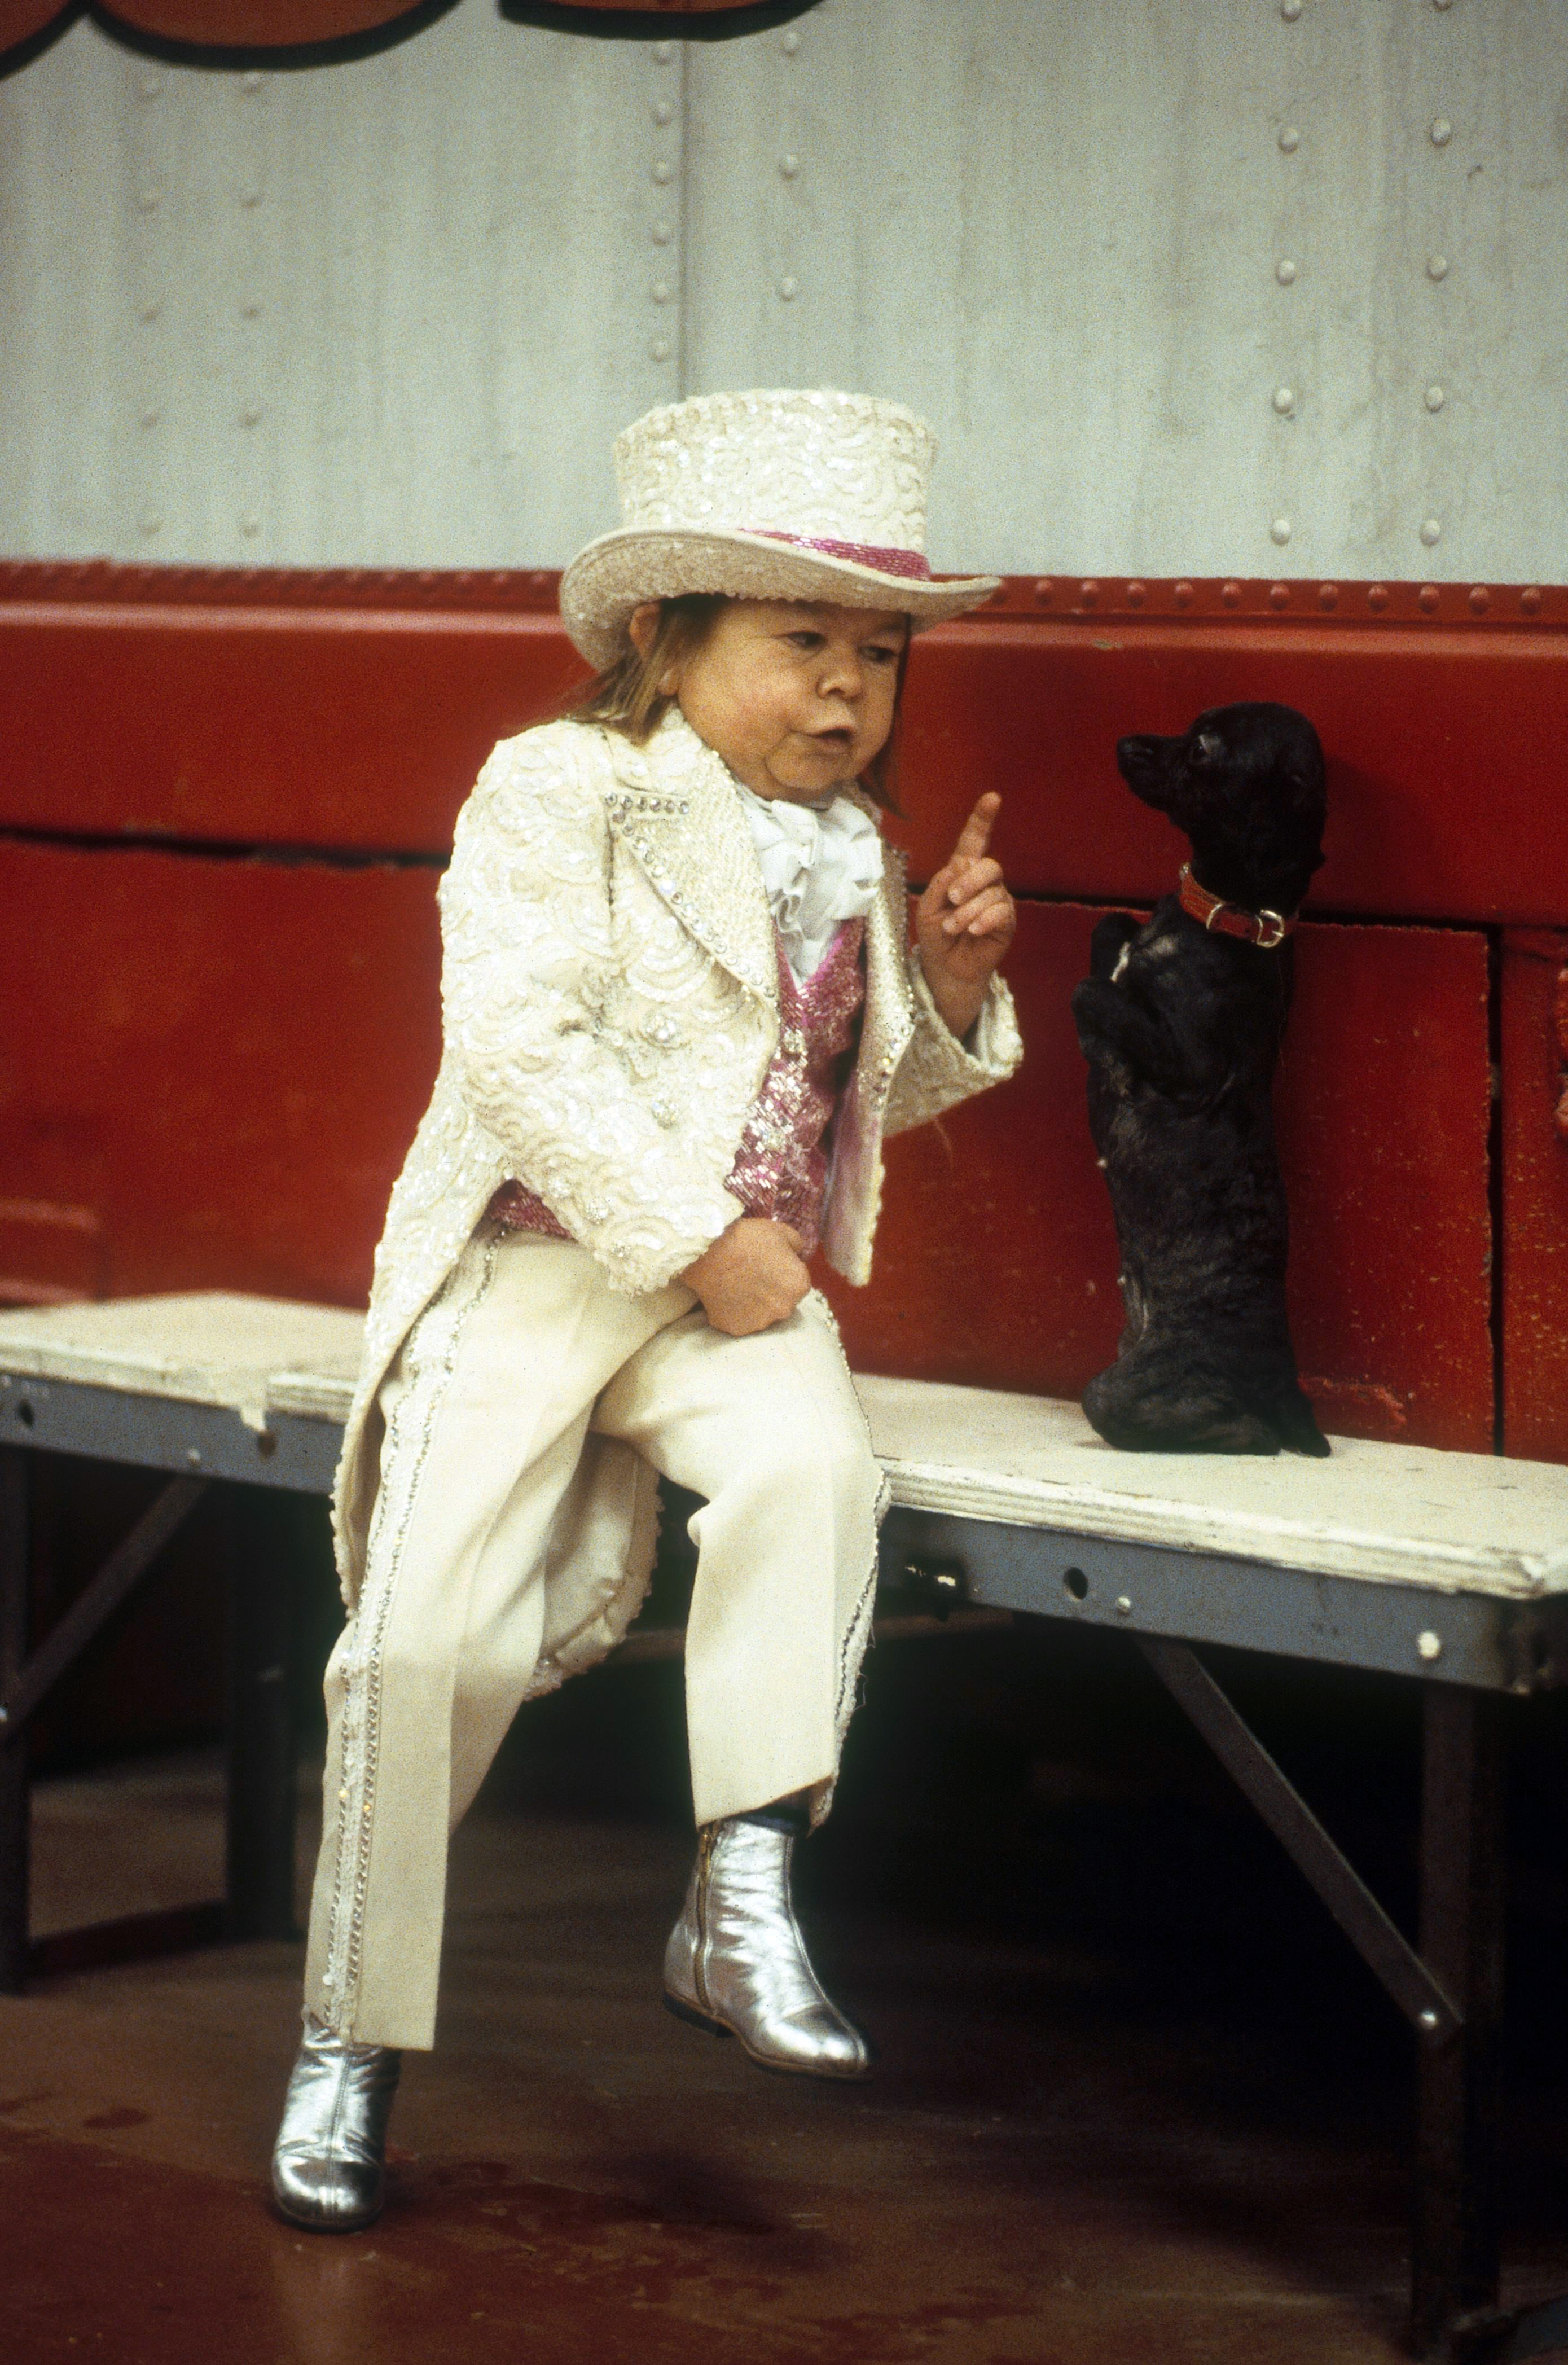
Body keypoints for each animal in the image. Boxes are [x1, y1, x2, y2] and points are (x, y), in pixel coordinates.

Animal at [1073, 695, 1334, 1456]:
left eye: (1202, 750)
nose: (1125, 742)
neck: (1228, 923)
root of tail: (1287, 1387)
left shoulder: (1189, 1067)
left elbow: (1091, 992)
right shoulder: (1121, 938)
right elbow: (1108, 931)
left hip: (1120, 1391)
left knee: (1248, 1434)